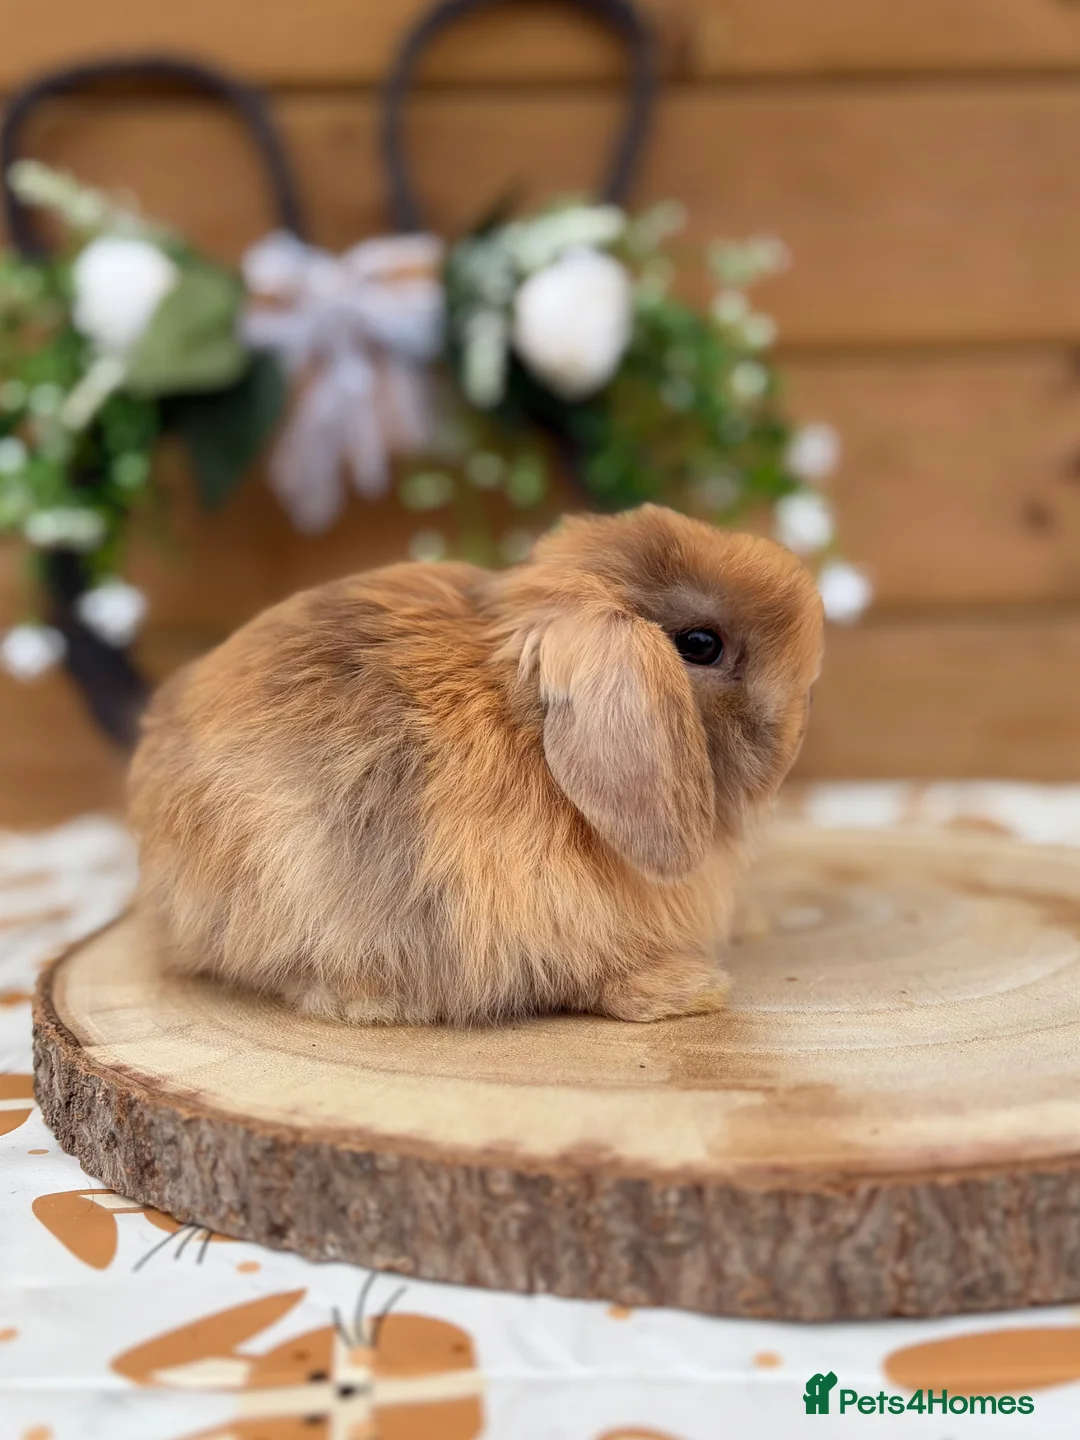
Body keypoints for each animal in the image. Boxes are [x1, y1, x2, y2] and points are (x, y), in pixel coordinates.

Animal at [128, 503, 823, 1026]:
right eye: (699, 645)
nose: (799, 721)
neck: (529, 729)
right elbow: (598, 974)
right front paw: (690, 990)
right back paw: (376, 1002)